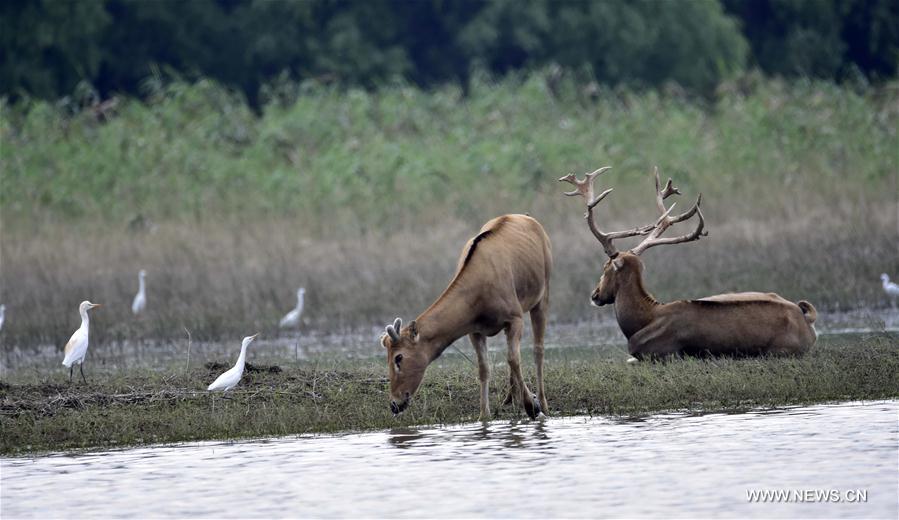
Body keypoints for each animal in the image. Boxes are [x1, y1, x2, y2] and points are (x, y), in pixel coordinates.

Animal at [382, 213, 552, 420]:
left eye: (398, 358)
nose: (394, 403)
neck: (479, 293)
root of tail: (528, 218)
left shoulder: (514, 317)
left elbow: (513, 359)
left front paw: (532, 406)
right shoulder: (475, 330)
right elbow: (484, 368)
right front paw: (484, 415)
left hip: (543, 294)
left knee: (538, 350)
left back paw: (542, 403)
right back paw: (510, 398)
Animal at [564, 169, 824, 360]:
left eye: (605, 267)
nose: (595, 294)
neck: (641, 321)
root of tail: (807, 320)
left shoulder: (658, 354)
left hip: (781, 350)